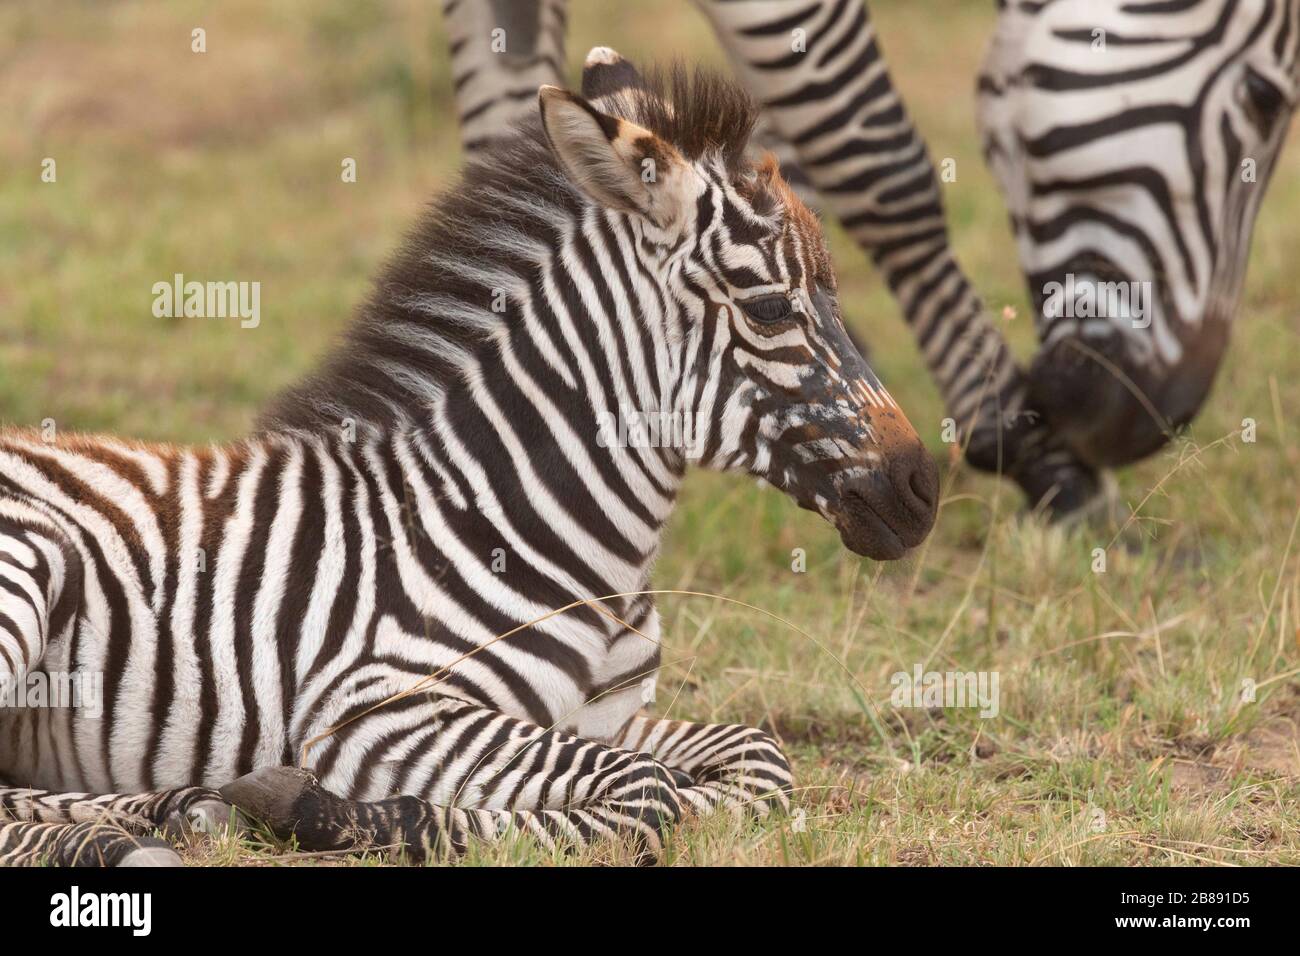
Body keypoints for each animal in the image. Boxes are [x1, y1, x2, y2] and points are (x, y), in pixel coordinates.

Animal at [0, 54, 939, 866]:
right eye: (774, 308)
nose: (924, 488)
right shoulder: (373, 711)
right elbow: (647, 793)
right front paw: (329, 812)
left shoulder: (606, 717)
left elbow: (755, 761)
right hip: (26, 568)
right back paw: (120, 835)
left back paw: (169, 811)